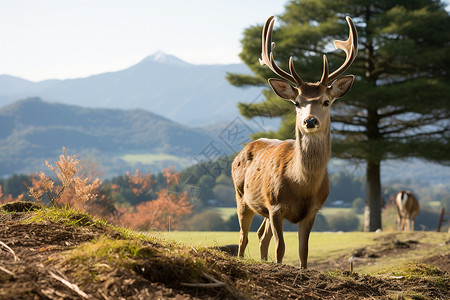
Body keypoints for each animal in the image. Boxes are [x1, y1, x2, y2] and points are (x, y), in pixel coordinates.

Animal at [232, 15, 358, 270]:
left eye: (327, 101)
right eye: (297, 102)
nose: (310, 120)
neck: (301, 184)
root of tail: (241, 152)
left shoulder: (312, 211)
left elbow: (303, 252)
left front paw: (300, 269)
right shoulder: (275, 205)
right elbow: (281, 248)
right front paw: (279, 264)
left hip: (262, 208)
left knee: (261, 235)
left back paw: (263, 261)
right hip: (241, 196)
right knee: (243, 236)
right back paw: (241, 258)